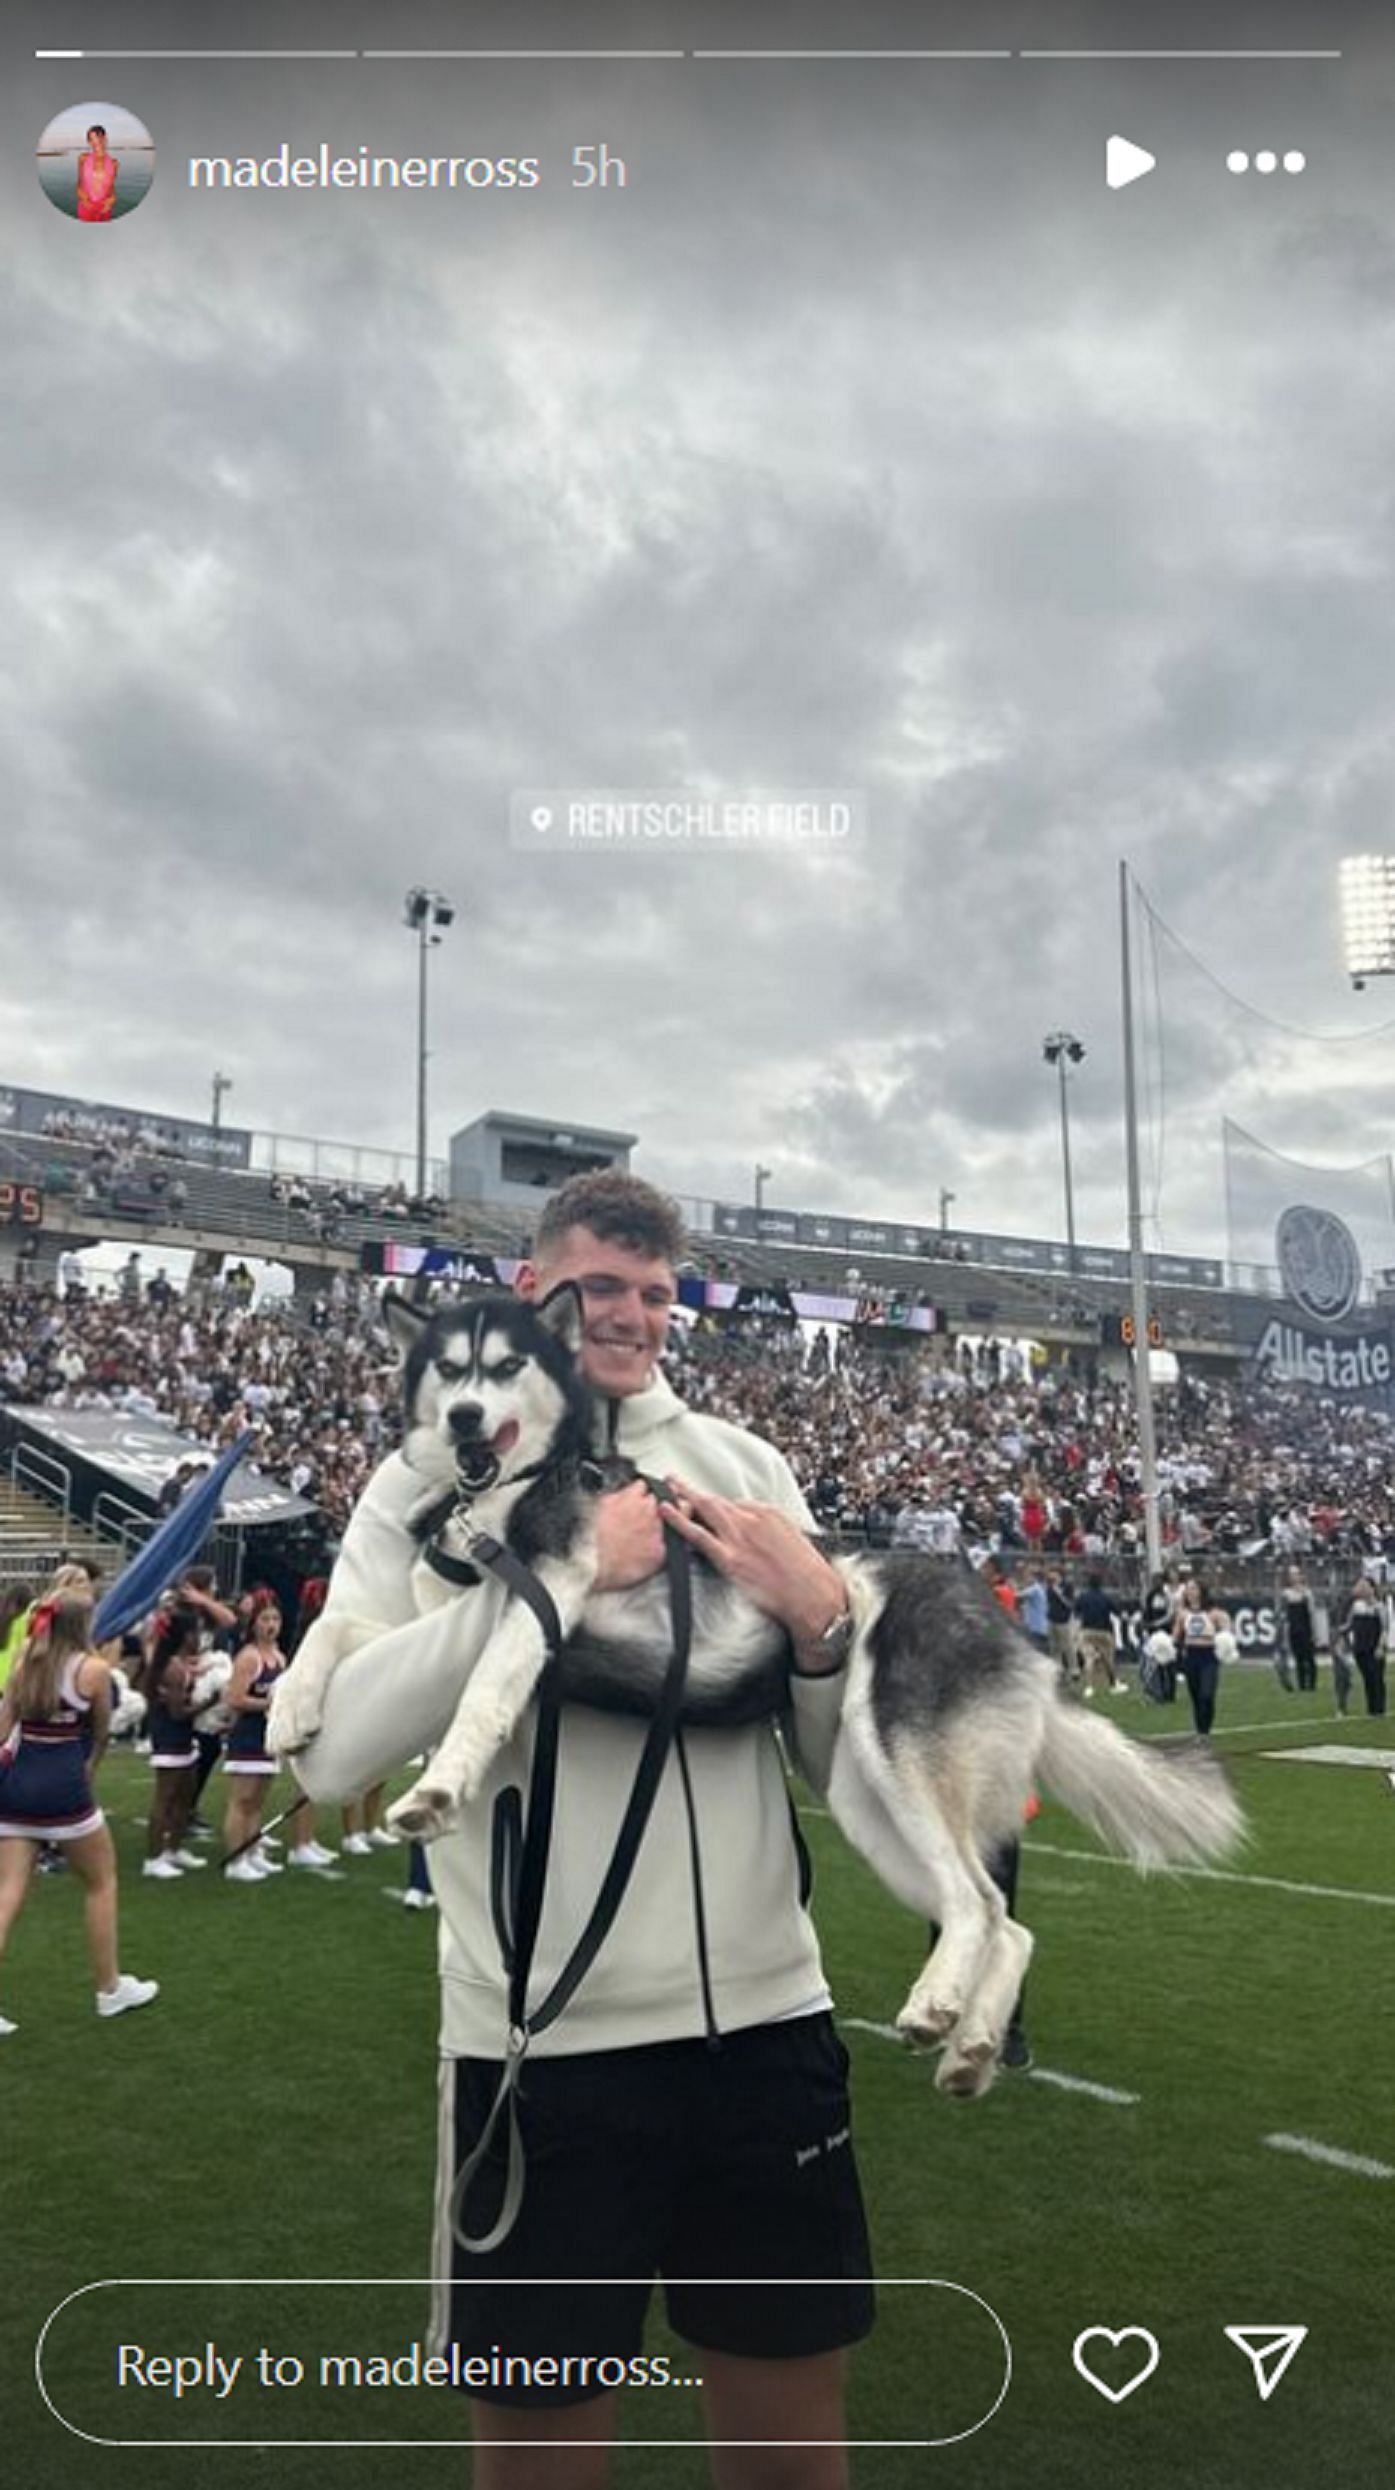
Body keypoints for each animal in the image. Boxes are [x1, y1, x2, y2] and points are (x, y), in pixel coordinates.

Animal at [275, 1294, 1240, 2091]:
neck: (497, 1500)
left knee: (978, 1904)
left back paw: (938, 2009)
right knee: (1007, 1921)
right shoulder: (431, 1615)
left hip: (899, 1756)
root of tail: (1006, 1622)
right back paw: (969, 2047)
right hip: (870, 1807)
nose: (468, 1416)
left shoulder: (550, 1588)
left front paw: (438, 1788)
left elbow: (477, 1689)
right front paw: (290, 1708)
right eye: (448, 1368)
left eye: (507, 1366)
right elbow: (337, 1629)